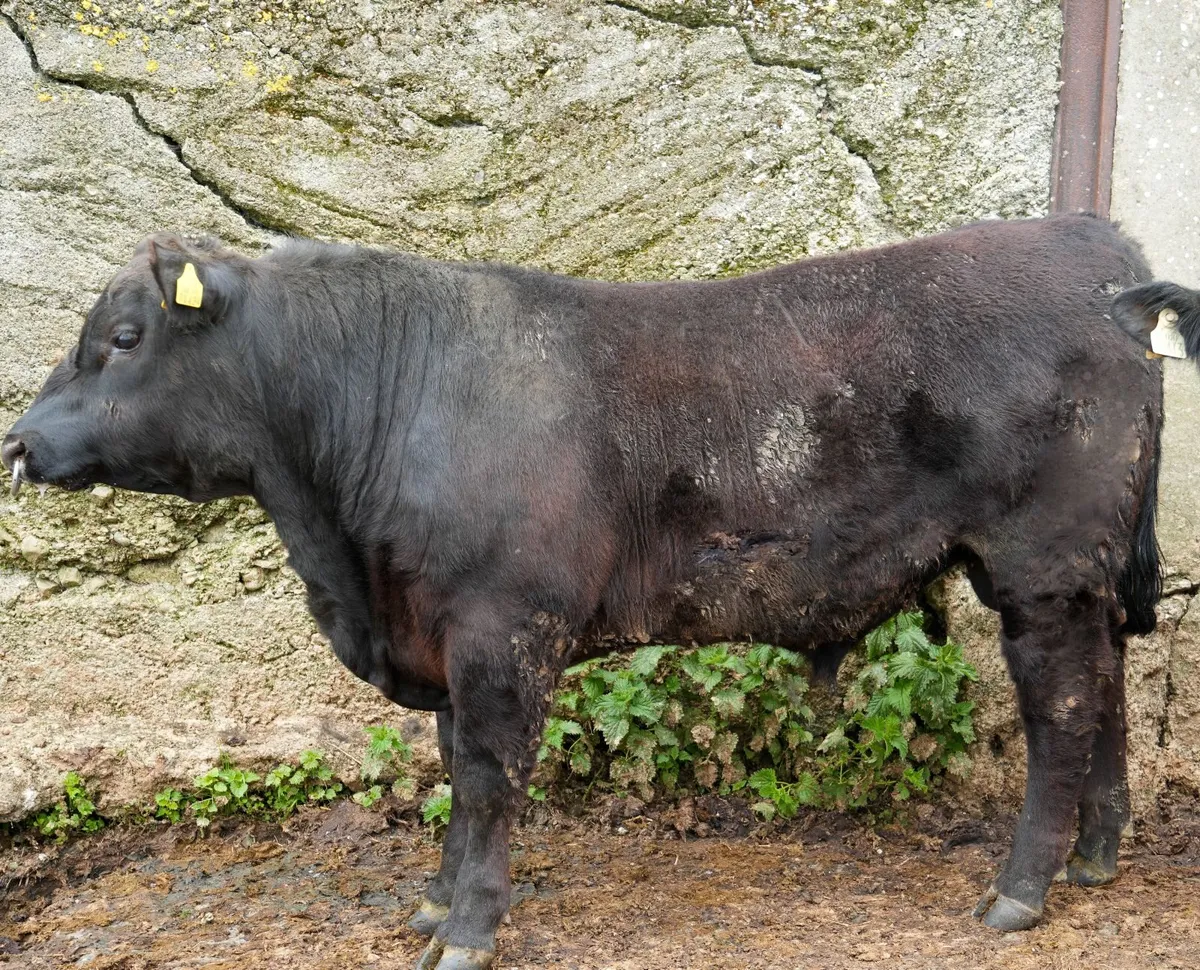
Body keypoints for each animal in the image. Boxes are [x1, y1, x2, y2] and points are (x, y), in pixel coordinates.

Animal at [3, 215, 1197, 970]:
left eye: (122, 336)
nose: (18, 440)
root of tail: (1100, 260)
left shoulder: (502, 628)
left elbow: (489, 780)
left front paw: (469, 929)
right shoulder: (442, 637)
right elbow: (453, 769)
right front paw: (434, 900)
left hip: (1041, 565)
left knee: (1063, 713)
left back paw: (1021, 889)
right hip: (1081, 576)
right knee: (1109, 691)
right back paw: (1096, 860)